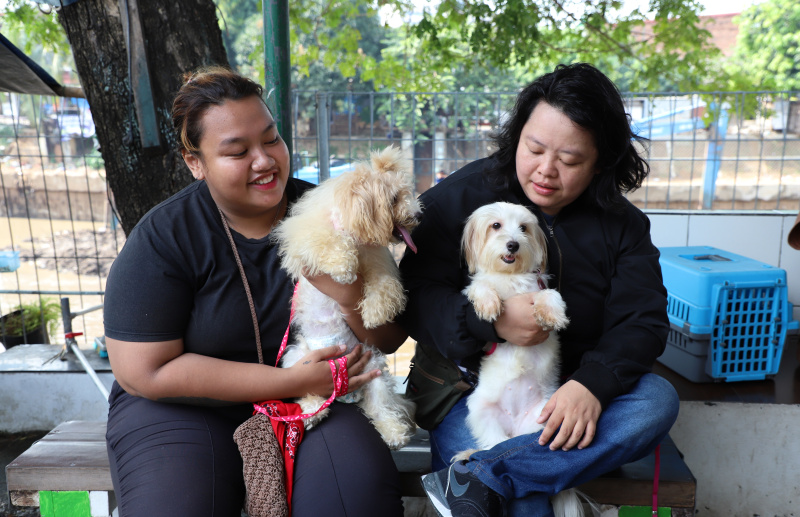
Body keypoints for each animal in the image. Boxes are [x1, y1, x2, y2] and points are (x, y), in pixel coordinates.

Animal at [272, 145, 418, 448]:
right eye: (394, 198)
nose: (417, 216)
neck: (354, 233)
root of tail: (346, 393)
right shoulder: (309, 238)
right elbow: (328, 242)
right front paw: (343, 268)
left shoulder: (379, 263)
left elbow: (384, 287)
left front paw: (373, 314)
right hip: (297, 360)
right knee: (311, 393)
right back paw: (312, 413)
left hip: (374, 370)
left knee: (382, 408)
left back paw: (394, 433)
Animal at [456, 201, 588, 516]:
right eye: (496, 226)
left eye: (524, 228)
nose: (513, 244)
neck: (510, 276)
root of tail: (514, 430)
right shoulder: (476, 287)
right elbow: (480, 288)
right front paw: (489, 306)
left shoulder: (541, 287)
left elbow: (550, 296)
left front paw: (552, 315)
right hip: (481, 412)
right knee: (493, 452)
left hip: (544, 423)